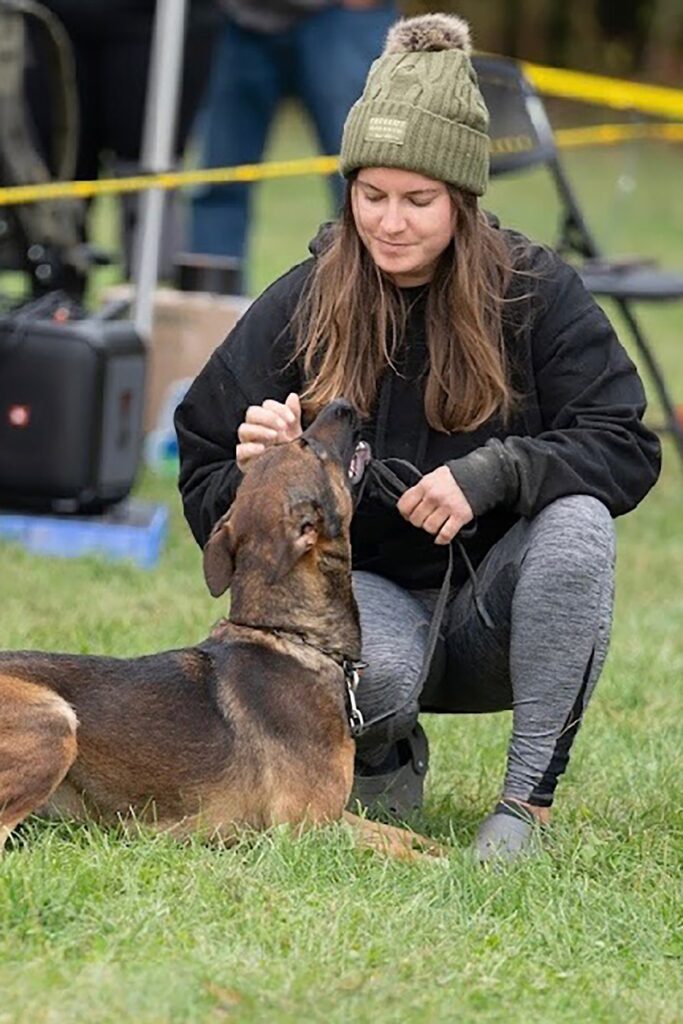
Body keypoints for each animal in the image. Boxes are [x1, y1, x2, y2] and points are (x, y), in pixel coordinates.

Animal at [0, 399, 446, 864]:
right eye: (305, 445)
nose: (342, 404)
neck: (289, 637)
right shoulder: (308, 831)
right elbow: (408, 856)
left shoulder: (338, 816)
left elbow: (406, 837)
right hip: (56, 721)